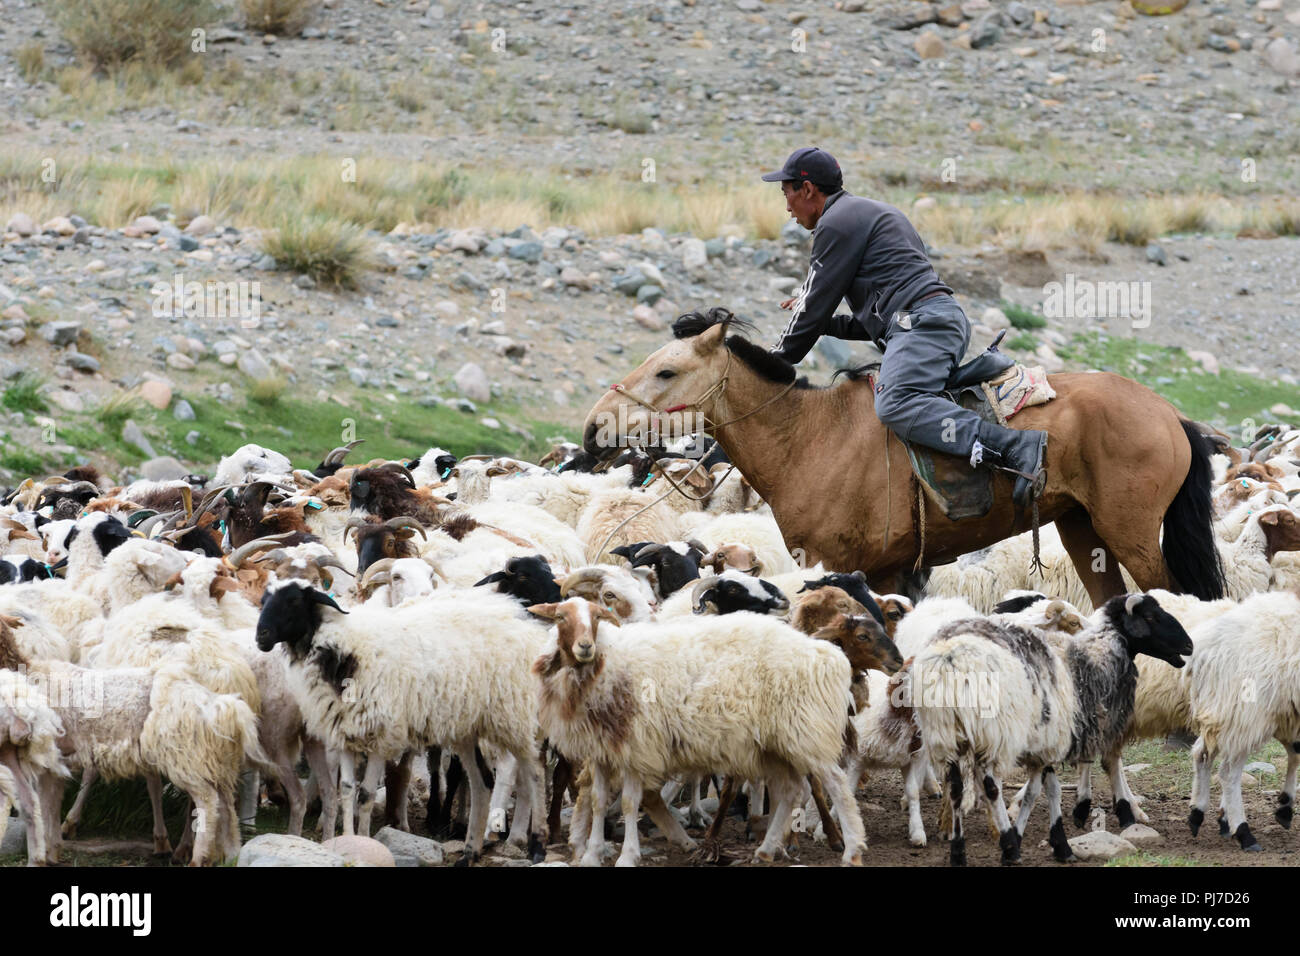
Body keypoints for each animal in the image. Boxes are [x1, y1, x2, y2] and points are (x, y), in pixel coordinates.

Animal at [585, 306, 1222, 608]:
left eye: (667, 371)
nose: (594, 427)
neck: (809, 438)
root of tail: (1172, 416)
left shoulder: (836, 564)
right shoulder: (893, 572)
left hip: (1131, 531)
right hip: (1082, 529)